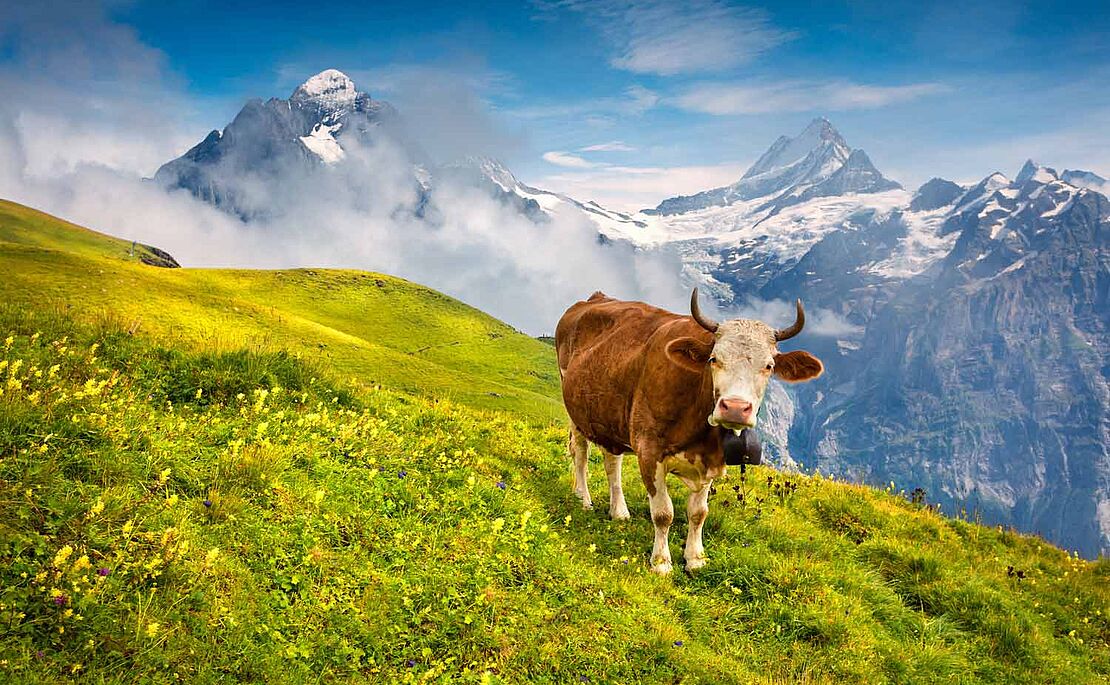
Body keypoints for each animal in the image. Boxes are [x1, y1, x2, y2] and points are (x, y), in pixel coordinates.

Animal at [555, 288, 824, 574]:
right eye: (714, 359)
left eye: (769, 366)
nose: (735, 408)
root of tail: (595, 297)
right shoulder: (649, 449)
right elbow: (663, 513)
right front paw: (661, 562)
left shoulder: (712, 460)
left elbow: (698, 513)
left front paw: (695, 558)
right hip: (575, 410)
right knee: (580, 454)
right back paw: (584, 499)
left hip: (608, 415)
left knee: (611, 462)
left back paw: (619, 511)